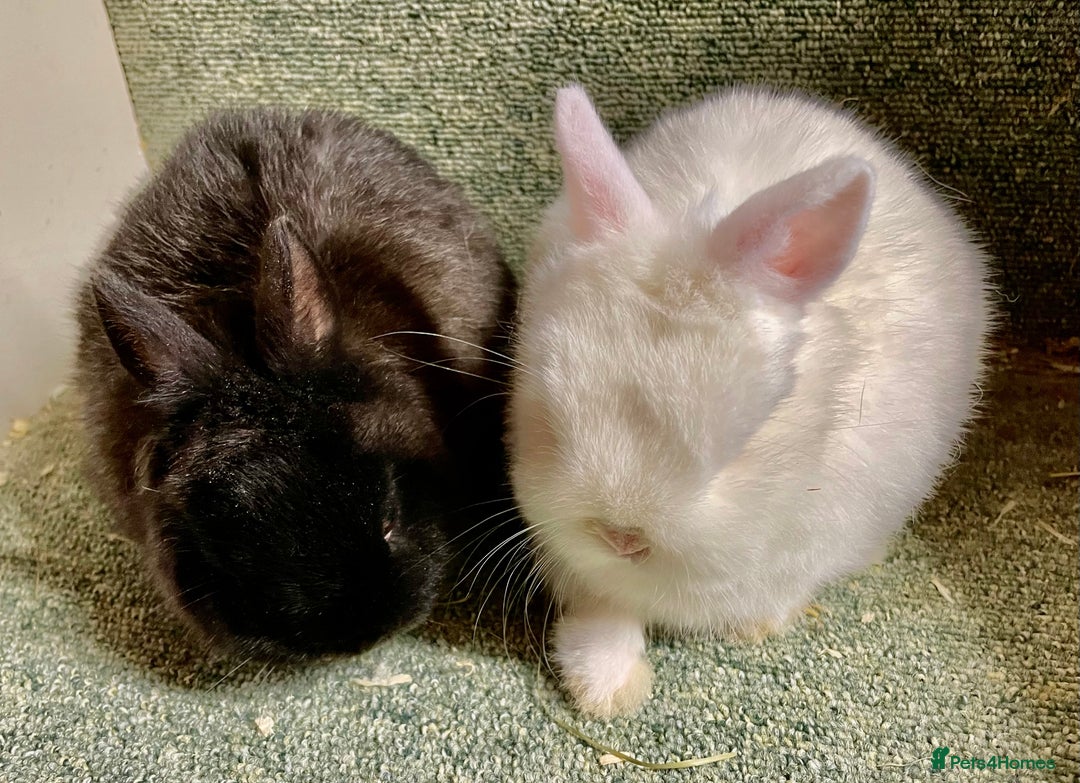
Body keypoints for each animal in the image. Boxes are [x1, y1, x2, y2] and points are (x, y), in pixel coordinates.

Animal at [508, 85, 992, 716]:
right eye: (552, 411)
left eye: (744, 443)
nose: (623, 537)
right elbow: (604, 613)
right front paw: (609, 691)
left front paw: (754, 626)